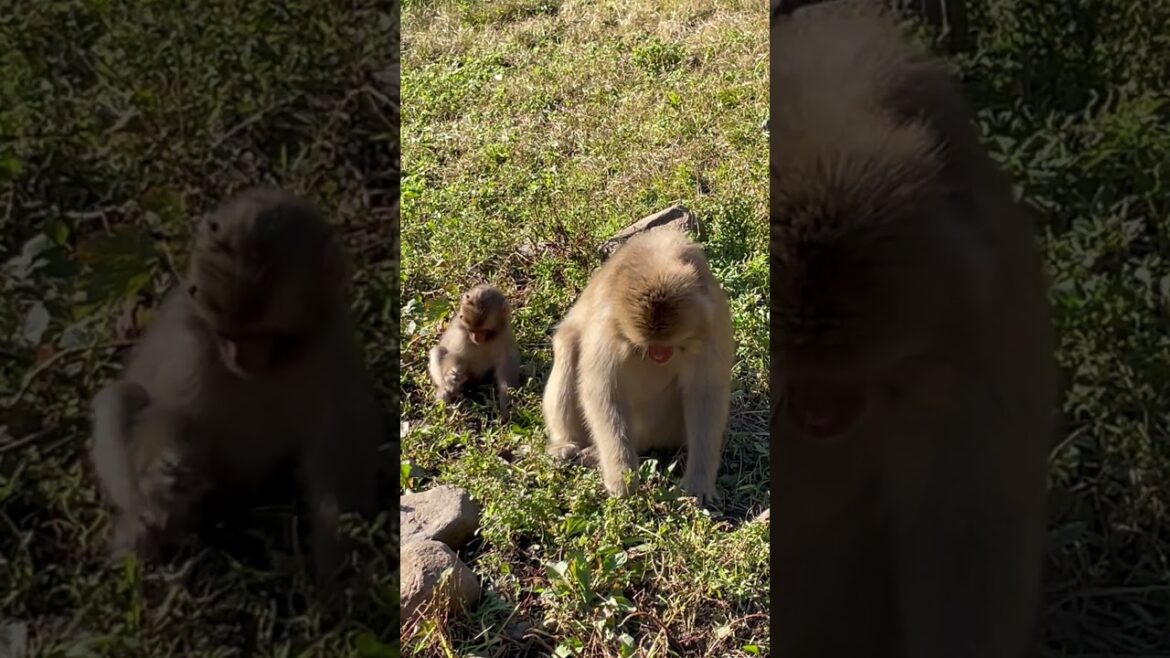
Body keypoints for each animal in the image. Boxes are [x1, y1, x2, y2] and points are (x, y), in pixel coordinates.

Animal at [89, 186, 382, 589]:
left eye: (261, 336)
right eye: (227, 336)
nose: (240, 359)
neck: (276, 361)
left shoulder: (330, 345)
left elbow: (336, 445)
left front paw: (340, 574)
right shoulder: (192, 351)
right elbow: (172, 413)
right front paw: (167, 476)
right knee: (120, 399)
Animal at [427, 284, 521, 414]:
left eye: (483, 331)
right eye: (472, 331)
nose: (476, 338)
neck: (487, 340)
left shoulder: (504, 335)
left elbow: (507, 364)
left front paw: (507, 405)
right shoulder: (461, 336)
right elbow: (456, 356)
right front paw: (452, 377)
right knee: (438, 351)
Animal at [541, 227, 735, 505]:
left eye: (673, 344)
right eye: (647, 346)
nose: (660, 354)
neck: (658, 257)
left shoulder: (712, 321)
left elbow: (706, 395)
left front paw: (698, 482)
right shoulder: (607, 324)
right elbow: (602, 391)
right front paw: (621, 477)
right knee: (568, 344)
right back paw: (566, 444)